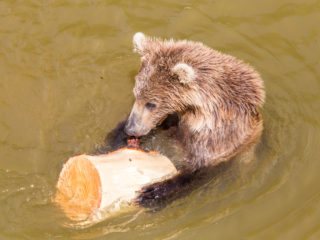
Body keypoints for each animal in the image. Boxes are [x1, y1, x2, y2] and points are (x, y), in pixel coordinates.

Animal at [122, 32, 262, 206]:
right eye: (136, 95)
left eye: (151, 104)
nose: (130, 128)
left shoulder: (221, 136)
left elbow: (198, 169)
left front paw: (151, 192)